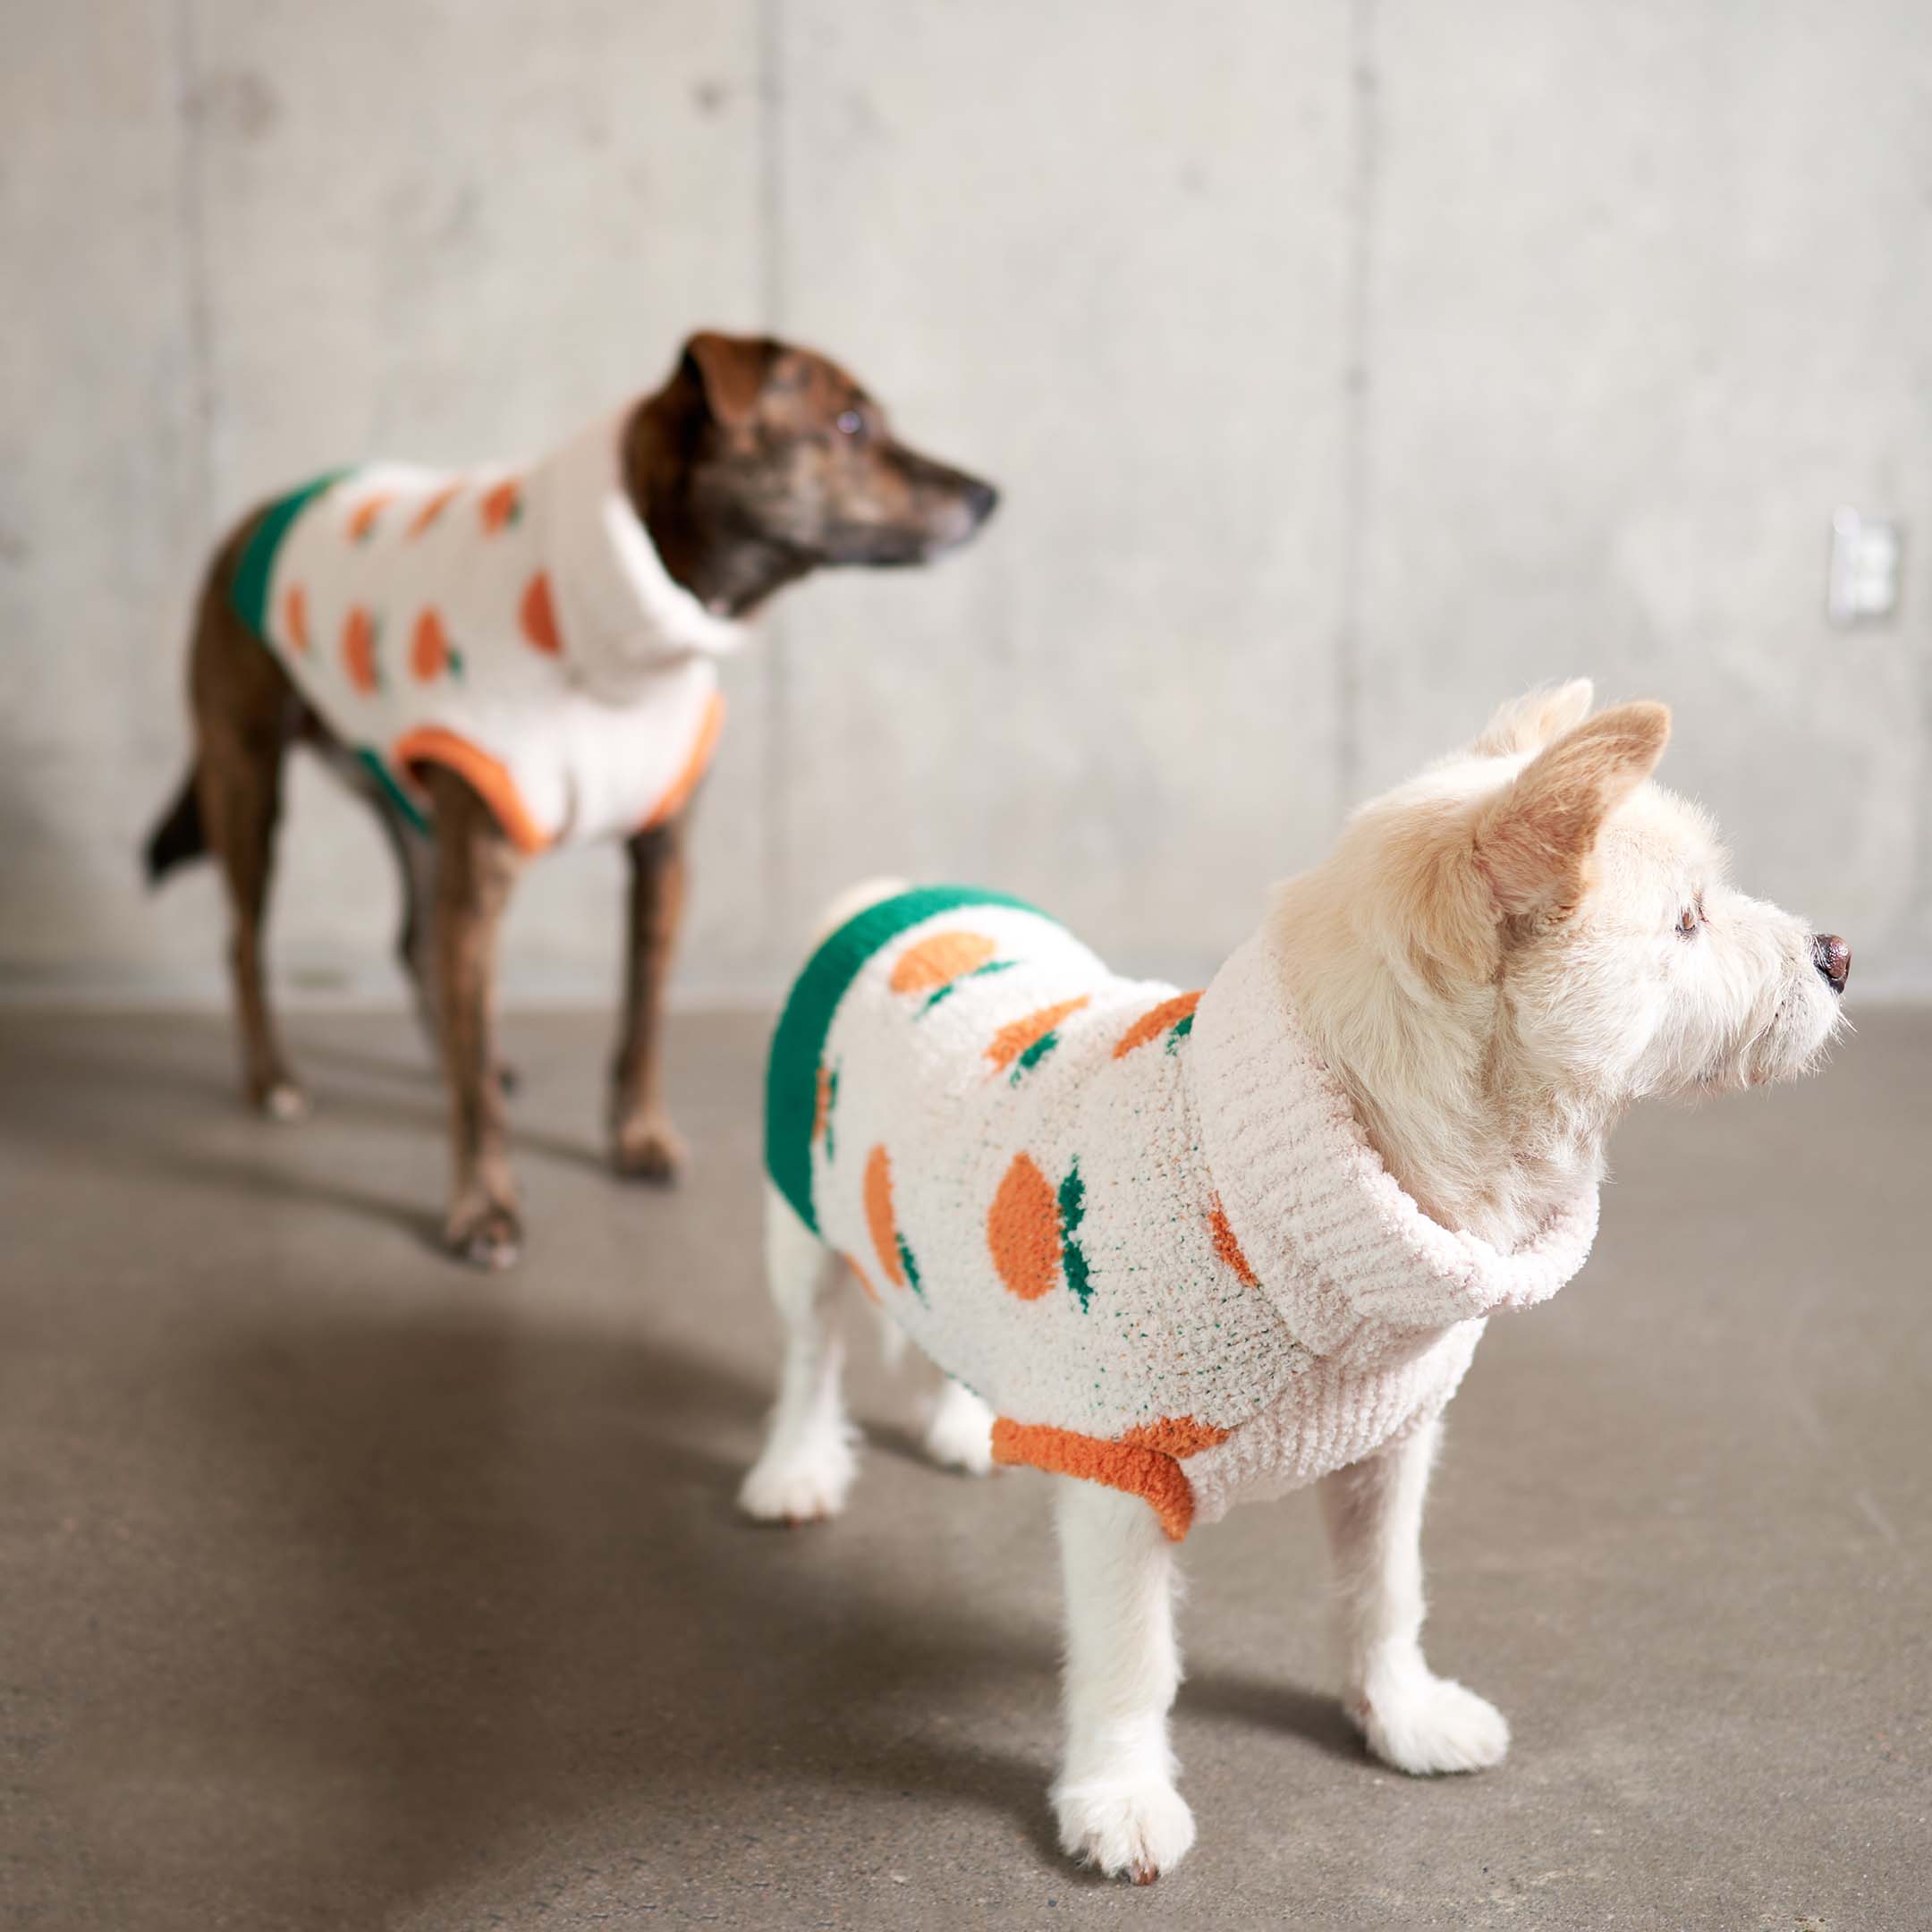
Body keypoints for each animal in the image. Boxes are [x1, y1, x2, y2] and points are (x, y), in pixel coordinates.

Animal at [147, 332, 996, 1267]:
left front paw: (637, 1137)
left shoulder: (663, 857)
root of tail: (258, 515)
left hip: (409, 806)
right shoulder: (482, 860)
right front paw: (483, 1204)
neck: (630, 626)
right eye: (849, 424)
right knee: (247, 943)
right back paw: (276, 1081)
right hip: (249, 780)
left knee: (418, 946)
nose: (987, 494)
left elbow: (641, 1021)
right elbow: (486, 1070)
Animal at [733, 680, 1839, 1869]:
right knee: (810, 1355)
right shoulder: (1120, 1484)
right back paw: (797, 1466)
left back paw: (964, 1417)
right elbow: (1130, 1656)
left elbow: (1385, 1592)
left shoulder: (1390, 1448)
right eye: (1687, 920)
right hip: (802, 1224)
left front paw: (1399, 1714)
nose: (1838, 953)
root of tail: (896, 895)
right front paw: (1120, 1793)